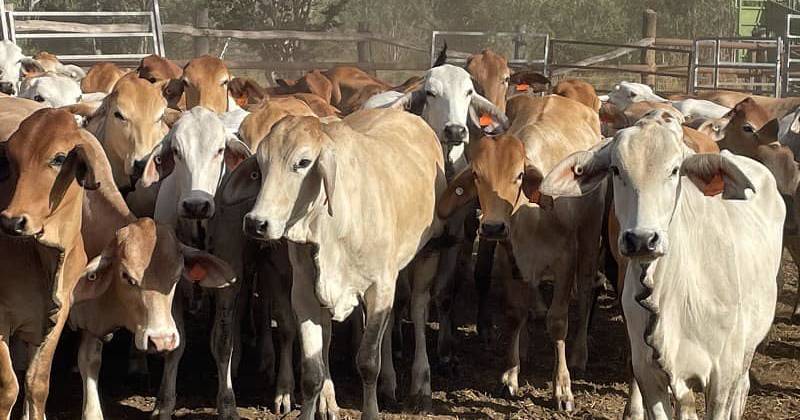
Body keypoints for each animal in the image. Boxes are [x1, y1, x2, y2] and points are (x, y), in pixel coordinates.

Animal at [223, 110, 444, 418]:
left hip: (427, 253)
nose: (256, 223)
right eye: (260, 167)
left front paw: (371, 412)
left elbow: (368, 363)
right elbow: (312, 372)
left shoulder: (380, 288)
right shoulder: (304, 294)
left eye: (303, 162)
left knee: (418, 310)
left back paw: (420, 386)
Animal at [440, 94, 604, 410]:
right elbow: (515, 313)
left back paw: (580, 353)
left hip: (590, 234)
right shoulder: (509, 257)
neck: (531, 213)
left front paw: (562, 388)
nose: (492, 227)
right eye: (476, 175)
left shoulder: (566, 259)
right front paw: (510, 374)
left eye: (518, 176)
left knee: (587, 289)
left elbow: (558, 322)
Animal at [540, 110, 784, 420]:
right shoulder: (649, 375)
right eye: (616, 170)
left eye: (675, 170)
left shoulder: (722, 378)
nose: (642, 239)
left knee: (743, 387)